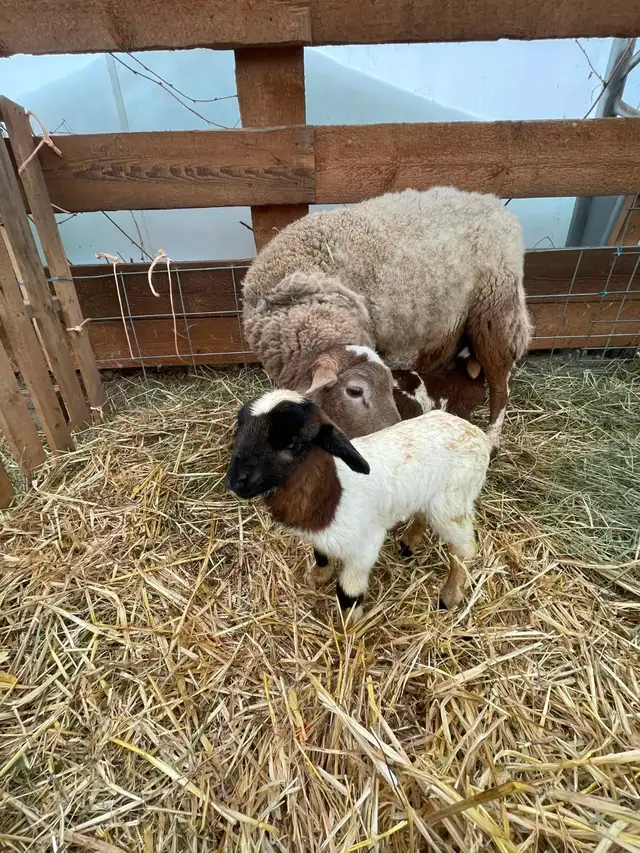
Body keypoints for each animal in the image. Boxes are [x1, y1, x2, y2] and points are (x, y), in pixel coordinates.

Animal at [225, 388, 491, 619]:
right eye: (240, 430)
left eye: (294, 443)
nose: (236, 480)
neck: (334, 495)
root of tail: (477, 434)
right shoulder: (322, 538)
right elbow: (321, 555)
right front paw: (318, 577)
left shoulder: (365, 546)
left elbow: (348, 594)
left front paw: (349, 628)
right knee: (423, 515)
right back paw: (408, 544)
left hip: (453, 503)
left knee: (465, 549)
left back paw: (449, 597)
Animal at [242, 186, 531, 450]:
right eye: (355, 391)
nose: (390, 429)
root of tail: (493, 203)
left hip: (495, 311)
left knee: (500, 386)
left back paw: (492, 440)